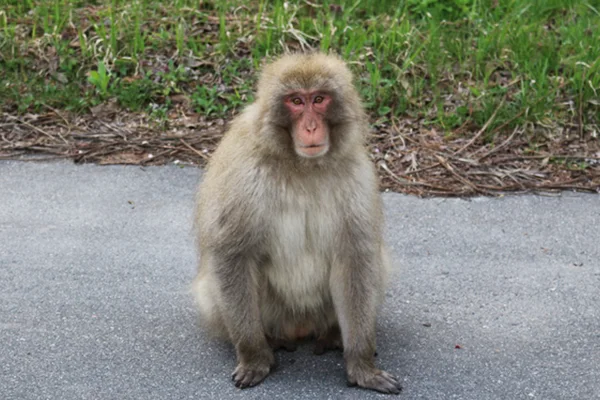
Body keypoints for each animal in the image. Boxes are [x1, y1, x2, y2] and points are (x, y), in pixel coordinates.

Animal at [190, 52, 400, 394]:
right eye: (296, 101)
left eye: (319, 99)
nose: (311, 126)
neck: (302, 166)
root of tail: (299, 329)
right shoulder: (244, 172)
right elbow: (233, 255)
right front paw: (254, 357)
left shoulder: (356, 175)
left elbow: (356, 259)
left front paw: (362, 365)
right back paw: (270, 341)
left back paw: (332, 334)